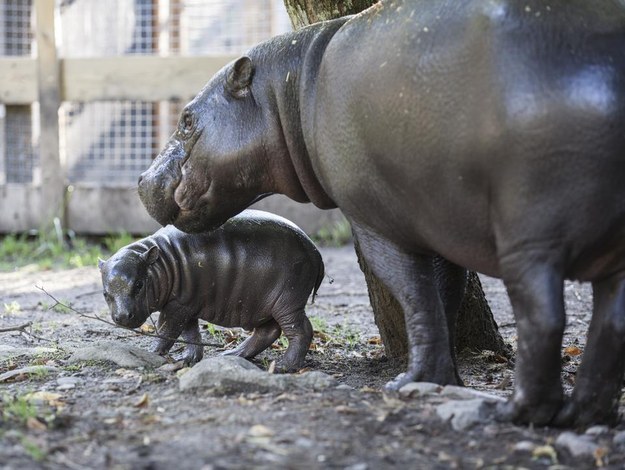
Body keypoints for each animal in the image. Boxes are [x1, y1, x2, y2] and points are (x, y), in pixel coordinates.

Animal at [98, 209, 322, 370]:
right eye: (105, 293)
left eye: (139, 284)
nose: (122, 317)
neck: (159, 264)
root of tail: (315, 249)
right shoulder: (185, 305)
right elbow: (191, 334)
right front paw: (188, 359)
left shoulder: (176, 305)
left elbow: (166, 331)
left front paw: (153, 353)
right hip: (266, 304)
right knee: (268, 331)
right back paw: (231, 355)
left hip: (288, 300)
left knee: (301, 330)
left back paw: (284, 366)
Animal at [139, 0, 624, 428]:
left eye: (186, 119)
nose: (142, 180)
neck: (289, 89)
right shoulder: (438, 222)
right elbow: (442, 299)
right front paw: (445, 380)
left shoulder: (378, 225)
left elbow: (415, 296)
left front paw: (408, 382)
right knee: (611, 321)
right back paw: (583, 415)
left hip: (532, 238)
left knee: (545, 317)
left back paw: (514, 412)